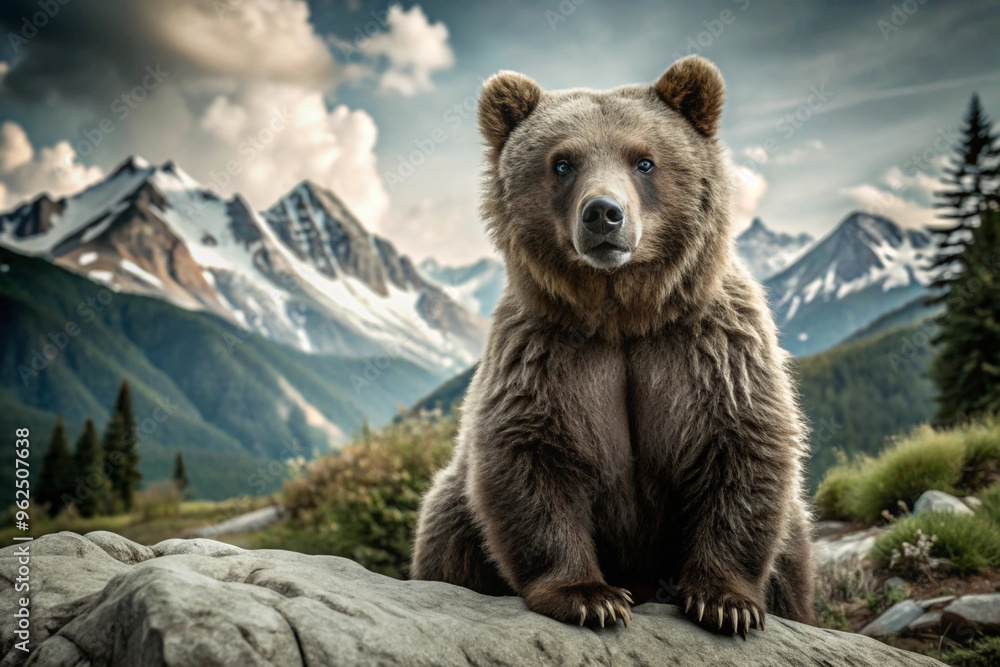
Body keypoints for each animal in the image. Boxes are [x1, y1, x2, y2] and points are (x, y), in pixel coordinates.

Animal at [411, 55, 815, 637]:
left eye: (644, 161)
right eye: (562, 163)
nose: (603, 213)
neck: (622, 316)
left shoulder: (708, 349)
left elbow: (740, 444)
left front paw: (724, 602)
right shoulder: (545, 354)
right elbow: (532, 457)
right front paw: (590, 598)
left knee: (793, 553)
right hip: (453, 509)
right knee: (446, 532)